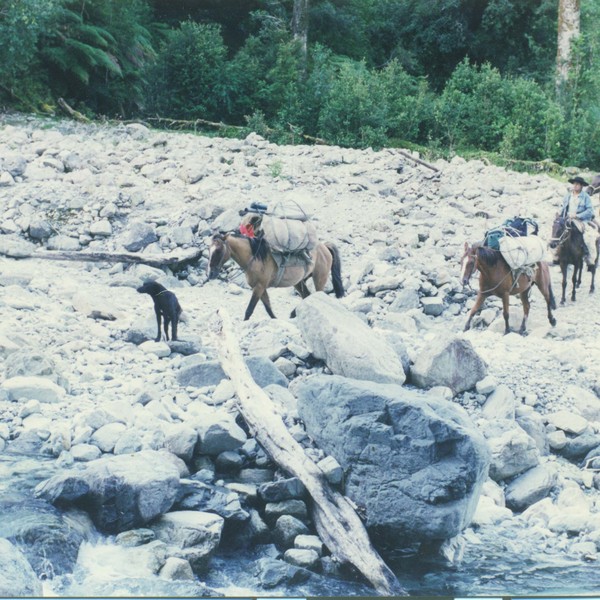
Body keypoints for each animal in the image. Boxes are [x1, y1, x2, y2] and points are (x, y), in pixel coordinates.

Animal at [207, 232, 344, 322]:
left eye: (218, 250)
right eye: (209, 249)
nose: (210, 274)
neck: (255, 258)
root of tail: (324, 247)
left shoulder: (259, 287)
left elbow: (249, 309)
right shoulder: (261, 288)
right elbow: (268, 308)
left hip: (319, 278)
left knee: (316, 296)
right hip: (299, 282)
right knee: (307, 295)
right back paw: (293, 313)